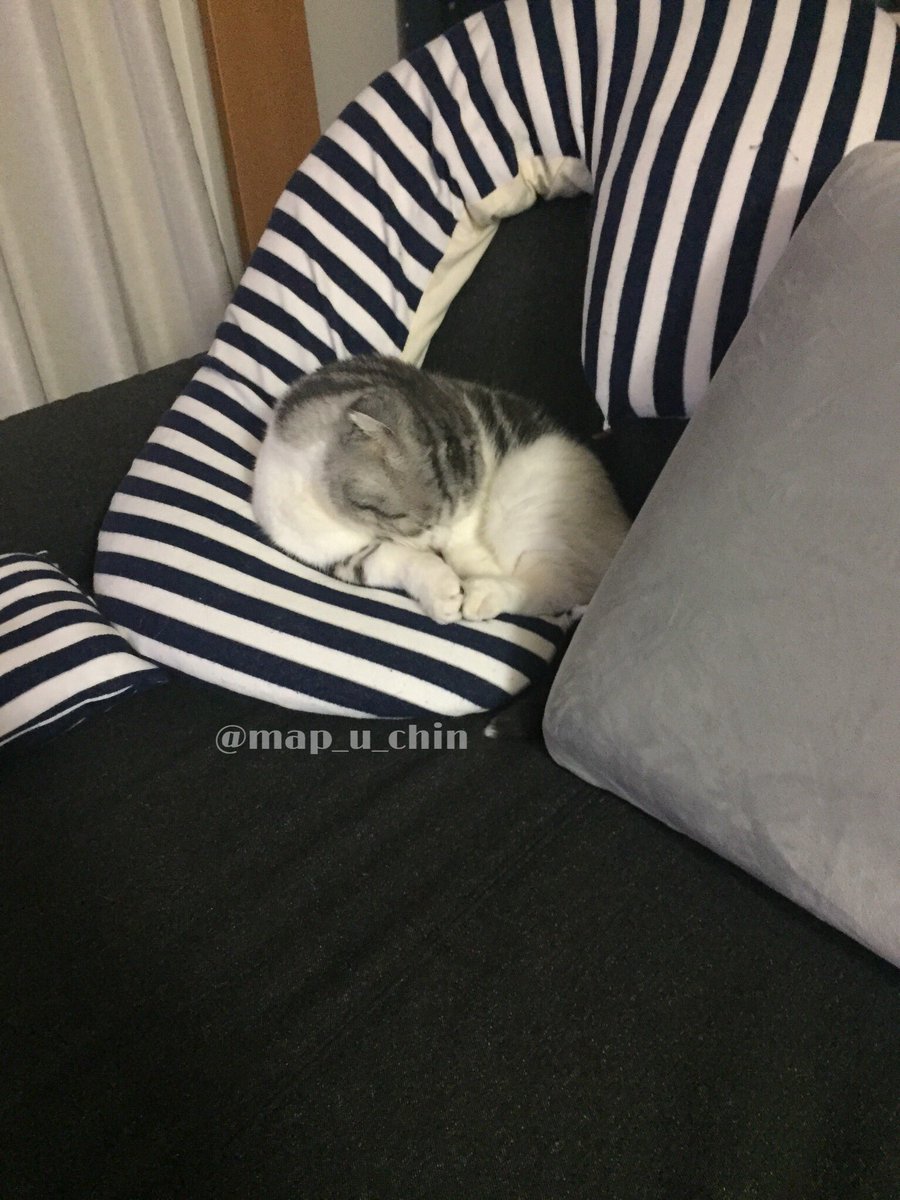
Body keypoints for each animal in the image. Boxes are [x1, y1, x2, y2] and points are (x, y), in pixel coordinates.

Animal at [251, 355, 630, 625]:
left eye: (452, 514)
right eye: (419, 522)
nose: (438, 542)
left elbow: (465, 541)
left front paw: (472, 567)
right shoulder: (340, 554)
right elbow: (397, 560)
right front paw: (441, 591)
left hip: (524, 497)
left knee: (557, 584)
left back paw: (487, 591)